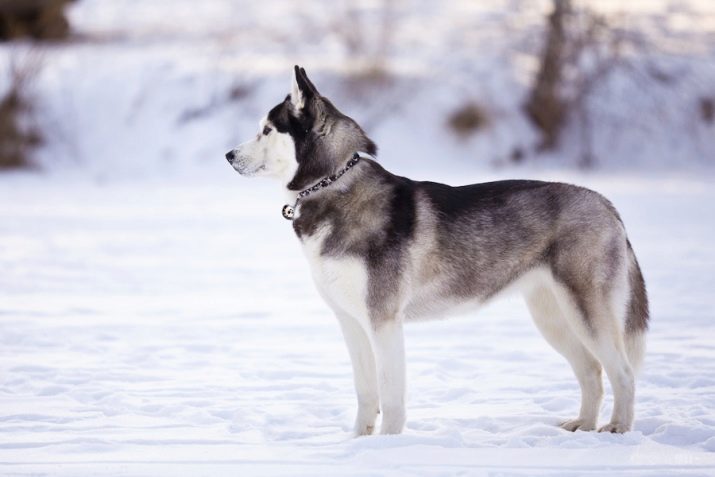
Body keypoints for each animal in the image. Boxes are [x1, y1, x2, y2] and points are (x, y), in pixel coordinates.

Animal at [228, 66, 648, 436]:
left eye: (266, 129)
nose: (229, 155)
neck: (332, 185)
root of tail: (606, 203)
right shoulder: (351, 322)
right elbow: (366, 393)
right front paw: (358, 443)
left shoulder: (383, 321)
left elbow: (391, 395)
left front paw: (388, 446)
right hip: (553, 317)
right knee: (592, 371)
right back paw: (584, 425)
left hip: (586, 312)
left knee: (623, 372)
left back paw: (618, 429)